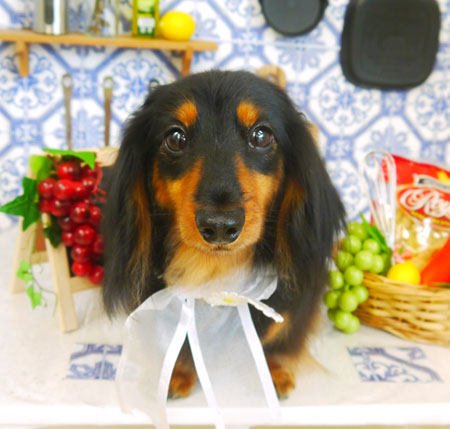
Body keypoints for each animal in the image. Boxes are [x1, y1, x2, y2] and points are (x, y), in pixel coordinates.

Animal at [102, 70, 345, 399]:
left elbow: (279, 336)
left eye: (261, 135)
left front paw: (274, 371)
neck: (215, 276)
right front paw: (178, 372)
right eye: (175, 138)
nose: (219, 226)